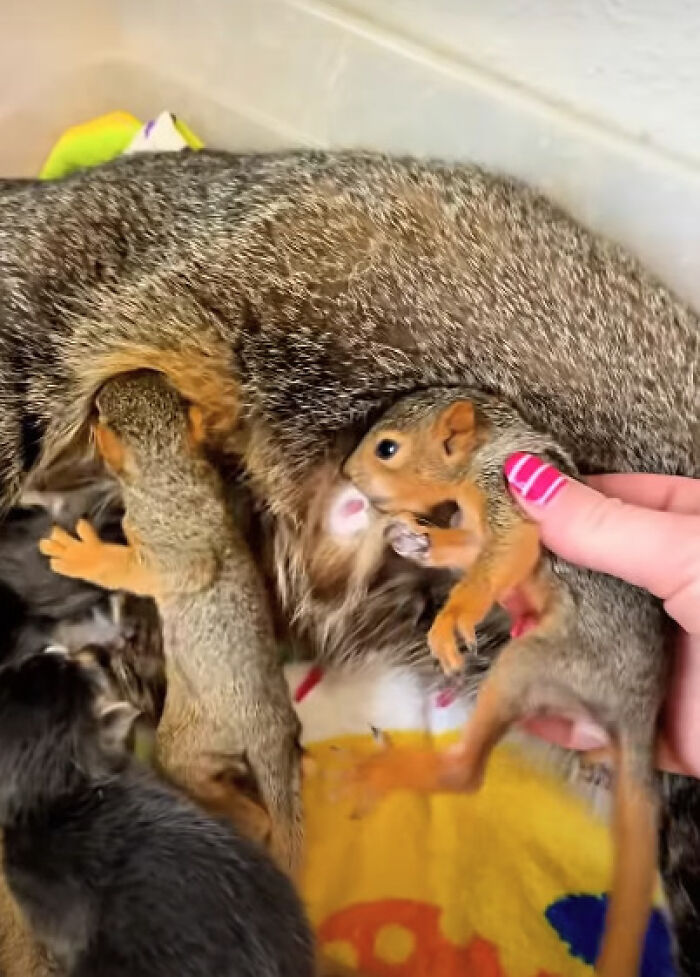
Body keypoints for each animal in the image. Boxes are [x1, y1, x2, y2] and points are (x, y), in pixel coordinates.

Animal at [40, 370, 303, 874]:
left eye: (99, 413)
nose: (96, 396)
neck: (172, 463)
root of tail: (270, 732)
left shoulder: (167, 536)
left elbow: (171, 569)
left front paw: (87, 556)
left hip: (194, 734)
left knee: (199, 773)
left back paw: (244, 817)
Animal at [343, 387, 669, 977]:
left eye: (387, 448)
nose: (346, 472)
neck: (489, 445)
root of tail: (640, 707)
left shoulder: (509, 490)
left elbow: (504, 553)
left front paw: (453, 615)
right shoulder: (475, 524)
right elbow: (471, 549)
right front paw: (415, 539)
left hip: (539, 662)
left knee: (465, 772)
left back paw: (393, 771)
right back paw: (597, 757)